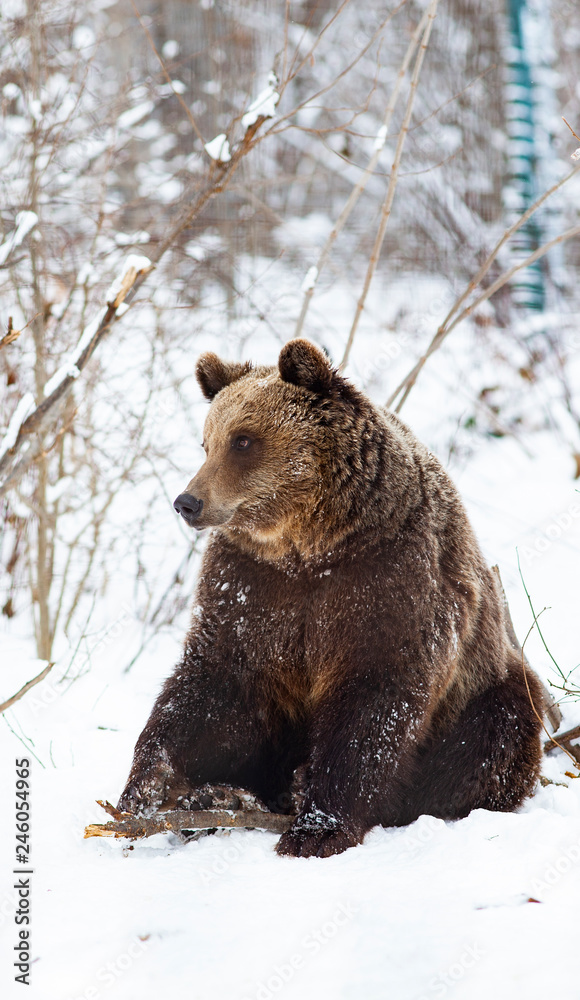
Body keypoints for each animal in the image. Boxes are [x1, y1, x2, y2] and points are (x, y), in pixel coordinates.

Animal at [117, 338, 544, 858]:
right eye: (207, 441)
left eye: (243, 440)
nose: (188, 502)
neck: (312, 545)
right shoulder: (253, 588)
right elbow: (215, 680)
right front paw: (146, 784)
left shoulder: (389, 579)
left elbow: (374, 699)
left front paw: (318, 828)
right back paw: (219, 796)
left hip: (485, 688)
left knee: (494, 736)